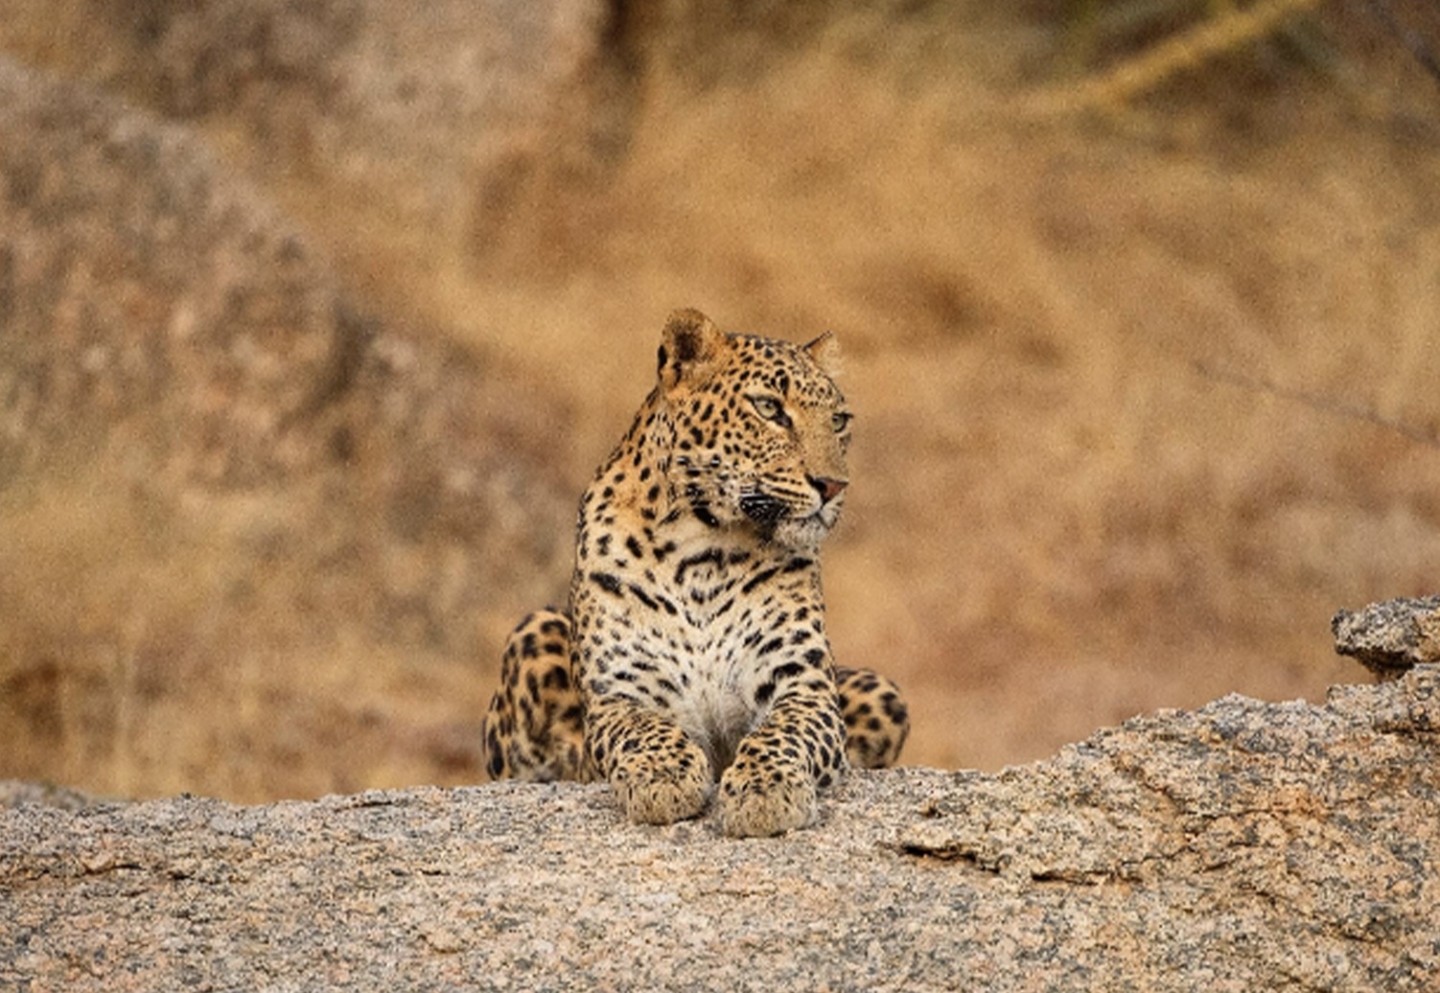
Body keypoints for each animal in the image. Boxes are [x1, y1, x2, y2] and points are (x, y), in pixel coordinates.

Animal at [483, 305, 910, 828]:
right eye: (769, 408)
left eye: (839, 421)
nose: (833, 485)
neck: (705, 552)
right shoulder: (620, 693)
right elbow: (644, 729)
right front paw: (663, 777)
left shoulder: (803, 685)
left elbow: (782, 733)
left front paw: (765, 790)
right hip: (535, 630)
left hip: (883, 692)